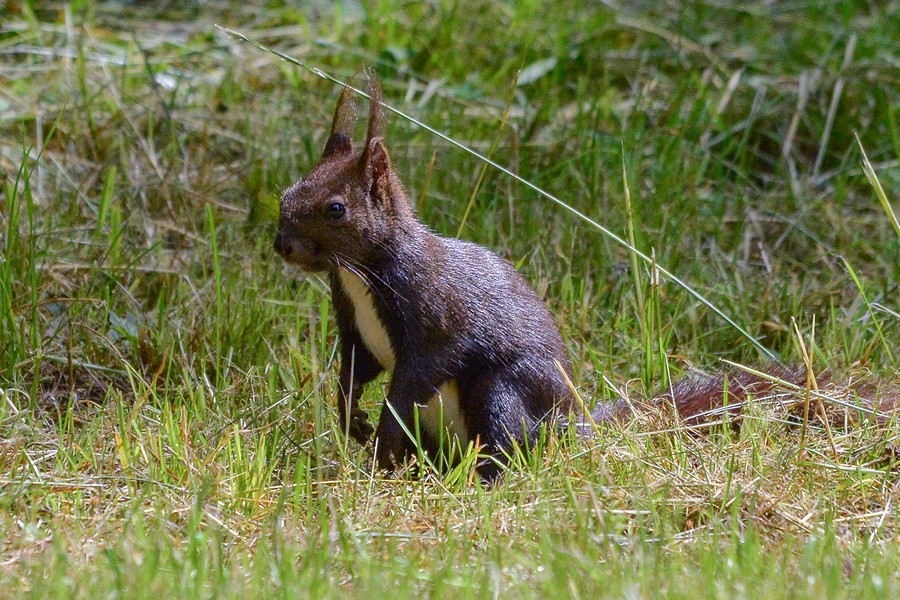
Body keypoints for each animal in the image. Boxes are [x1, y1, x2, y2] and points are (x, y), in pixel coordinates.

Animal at [276, 75, 900, 480]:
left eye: (336, 209)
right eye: (287, 192)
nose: (282, 245)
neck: (360, 274)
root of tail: (576, 428)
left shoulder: (433, 315)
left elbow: (415, 375)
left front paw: (380, 430)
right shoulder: (354, 325)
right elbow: (355, 371)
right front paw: (351, 420)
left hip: (506, 391)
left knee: (507, 439)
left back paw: (478, 479)